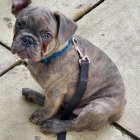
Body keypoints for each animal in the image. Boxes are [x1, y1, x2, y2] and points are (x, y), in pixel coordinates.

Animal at [10, 0, 126, 133]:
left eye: (47, 36)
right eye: (19, 24)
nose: (27, 39)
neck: (49, 57)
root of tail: (121, 109)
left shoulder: (56, 91)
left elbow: (50, 106)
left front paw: (42, 115)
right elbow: (52, 104)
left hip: (95, 109)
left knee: (76, 125)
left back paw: (54, 125)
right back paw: (32, 95)